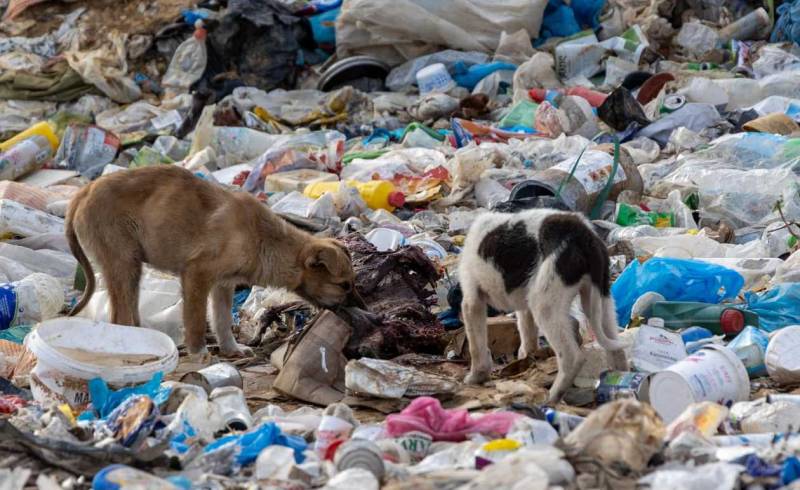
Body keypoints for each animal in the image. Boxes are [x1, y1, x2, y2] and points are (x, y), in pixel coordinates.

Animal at [67, 165, 360, 356]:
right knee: (120, 316)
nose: (364, 313)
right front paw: (199, 353)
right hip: (123, 262)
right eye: (344, 285)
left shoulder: (223, 284)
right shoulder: (197, 274)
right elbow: (196, 319)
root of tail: (84, 191)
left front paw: (231, 349)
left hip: (131, 268)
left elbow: (221, 319)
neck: (263, 239)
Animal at [456, 209, 624, 404]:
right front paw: (526, 359)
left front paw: (477, 376)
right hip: (602, 300)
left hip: (545, 303)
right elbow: (527, 334)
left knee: (571, 357)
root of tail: (584, 235)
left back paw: (553, 396)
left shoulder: (471, 299)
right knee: (617, 348)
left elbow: (476, 345)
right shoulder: (524, 305)